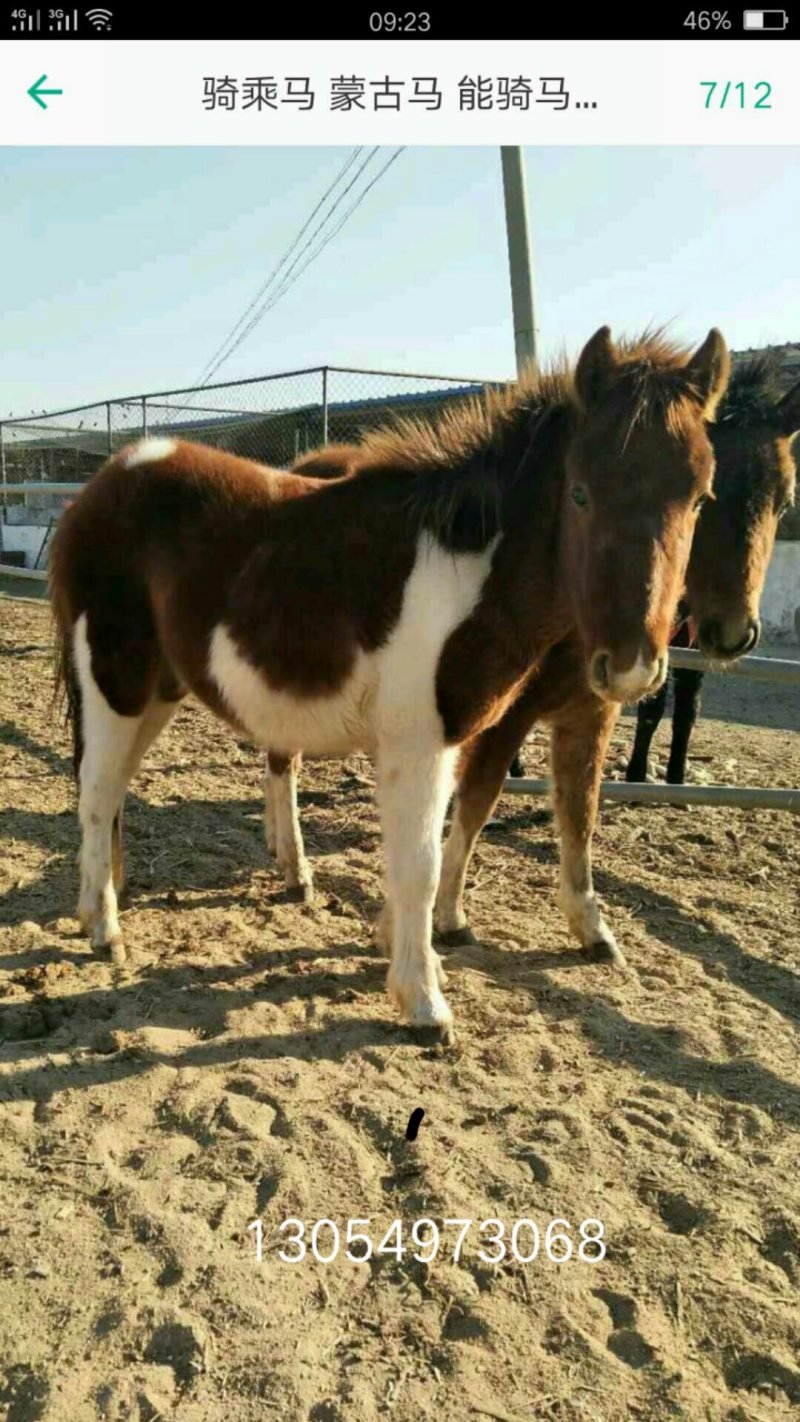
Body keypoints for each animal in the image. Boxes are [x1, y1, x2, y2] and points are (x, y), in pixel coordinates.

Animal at [50, 327, 728, 1039]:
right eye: (580, 492)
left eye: (700, 497)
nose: (630, 667)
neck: (466, 567)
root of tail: (101, 486)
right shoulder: (417, 742)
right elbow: (420, 868)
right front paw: (424, 1002)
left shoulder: (451, 741)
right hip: (115, 681)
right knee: (96, 793)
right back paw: (104, 930)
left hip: (156, 690)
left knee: (110, 790)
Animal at [626, 354, 800, 785]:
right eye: (700, 497)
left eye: (785, 503)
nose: (734, 634)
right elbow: (651, 702)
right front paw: (635, 777)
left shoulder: (692, 629)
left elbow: (688, 704)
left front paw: (675, 778)